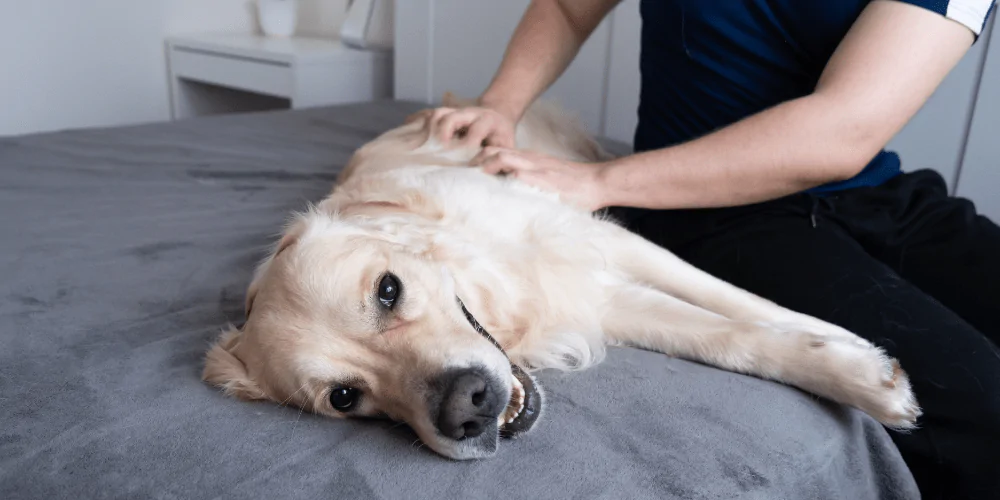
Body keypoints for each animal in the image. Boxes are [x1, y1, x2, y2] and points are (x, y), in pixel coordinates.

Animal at [203, 94, 920, 460]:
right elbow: (732, 340)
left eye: (388, 289)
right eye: (345, 398)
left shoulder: (598, 238)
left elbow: (739, 301)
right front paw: (853, 372)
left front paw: (853, 350)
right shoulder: (605, 301)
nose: (467, 408)